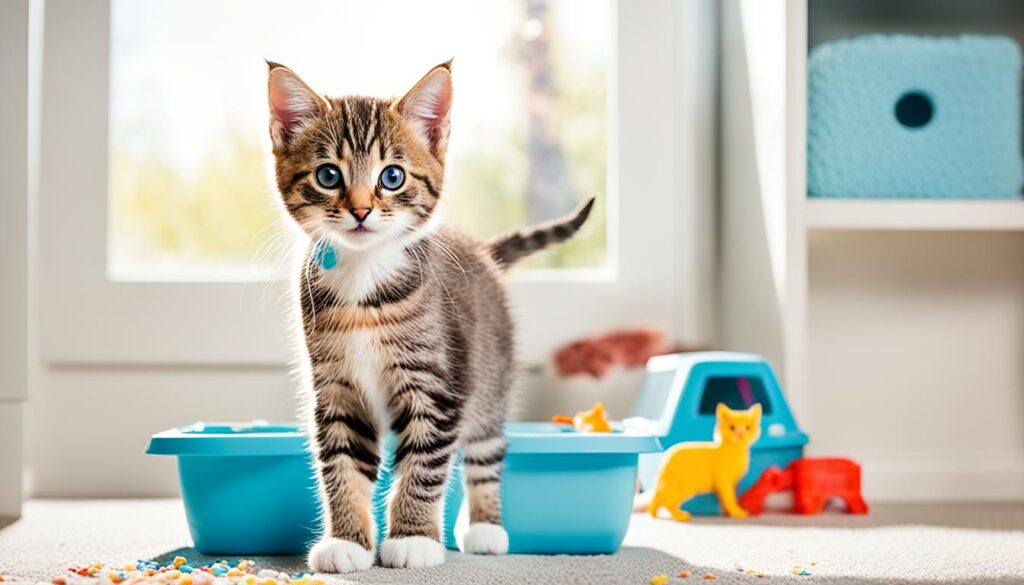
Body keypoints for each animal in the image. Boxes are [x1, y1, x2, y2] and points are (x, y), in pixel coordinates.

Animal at [268, 61, 598, 573]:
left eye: (392, 176)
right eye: (327, 175)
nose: (360, 210)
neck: (365, 281)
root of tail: (482, 251)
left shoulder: (440, 384)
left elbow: (424, 464)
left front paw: (413, 537)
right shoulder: (337, 388)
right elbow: (342, 462)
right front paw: (347, 541)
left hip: (489, 374)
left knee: (483, 449)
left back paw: (484, 528)